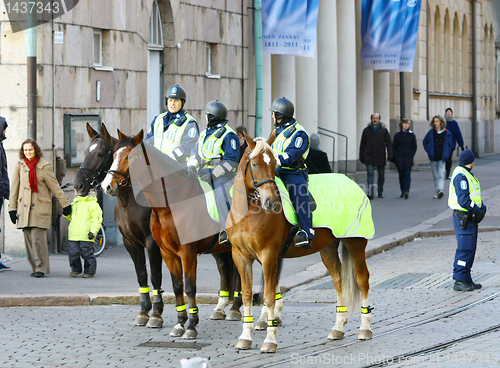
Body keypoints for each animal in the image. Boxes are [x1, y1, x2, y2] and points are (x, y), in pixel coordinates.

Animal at [75, 124, 243, 330]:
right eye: (111, 155)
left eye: (100, 154)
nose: (78, 185)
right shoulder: (131, 243)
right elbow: (142, 275)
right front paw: (143, 312)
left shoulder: (153, 243)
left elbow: (156, 276)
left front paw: (156, 314)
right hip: (218, 247)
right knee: (225, 269)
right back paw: (221, 308)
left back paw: (235, 308)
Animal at [229, 134, 374, 352]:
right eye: (254, 164)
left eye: (274, 165)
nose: (271, 202)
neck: (248, 214)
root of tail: (352, 183)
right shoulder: (240, 257)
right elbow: (247, 295)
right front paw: (245, 337)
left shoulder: (269, 255)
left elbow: (269, 296)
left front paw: (270, 339)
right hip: (328, 249)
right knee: (339, 280)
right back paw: (338, 328)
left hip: (355, 242)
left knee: (362, 280)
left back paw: (365, 329)